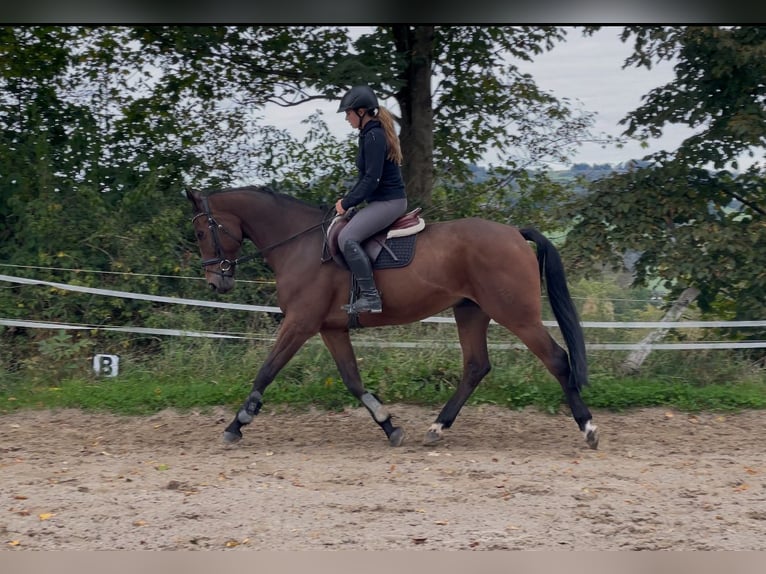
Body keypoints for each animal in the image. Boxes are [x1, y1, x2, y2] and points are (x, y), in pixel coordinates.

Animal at [186, 187, 600, 452]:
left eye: (203, 230)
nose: (216, 281)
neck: (297, 245)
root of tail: (514, 232)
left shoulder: (300, 324)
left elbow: (265, 372)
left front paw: (236, 425)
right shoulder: (330, 328)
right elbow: (353, 380)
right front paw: (389, 426)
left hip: (515, 314)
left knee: (556, 360)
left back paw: (588, 428)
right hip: (470, 310)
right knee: (476, 366)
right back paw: (437, 428)